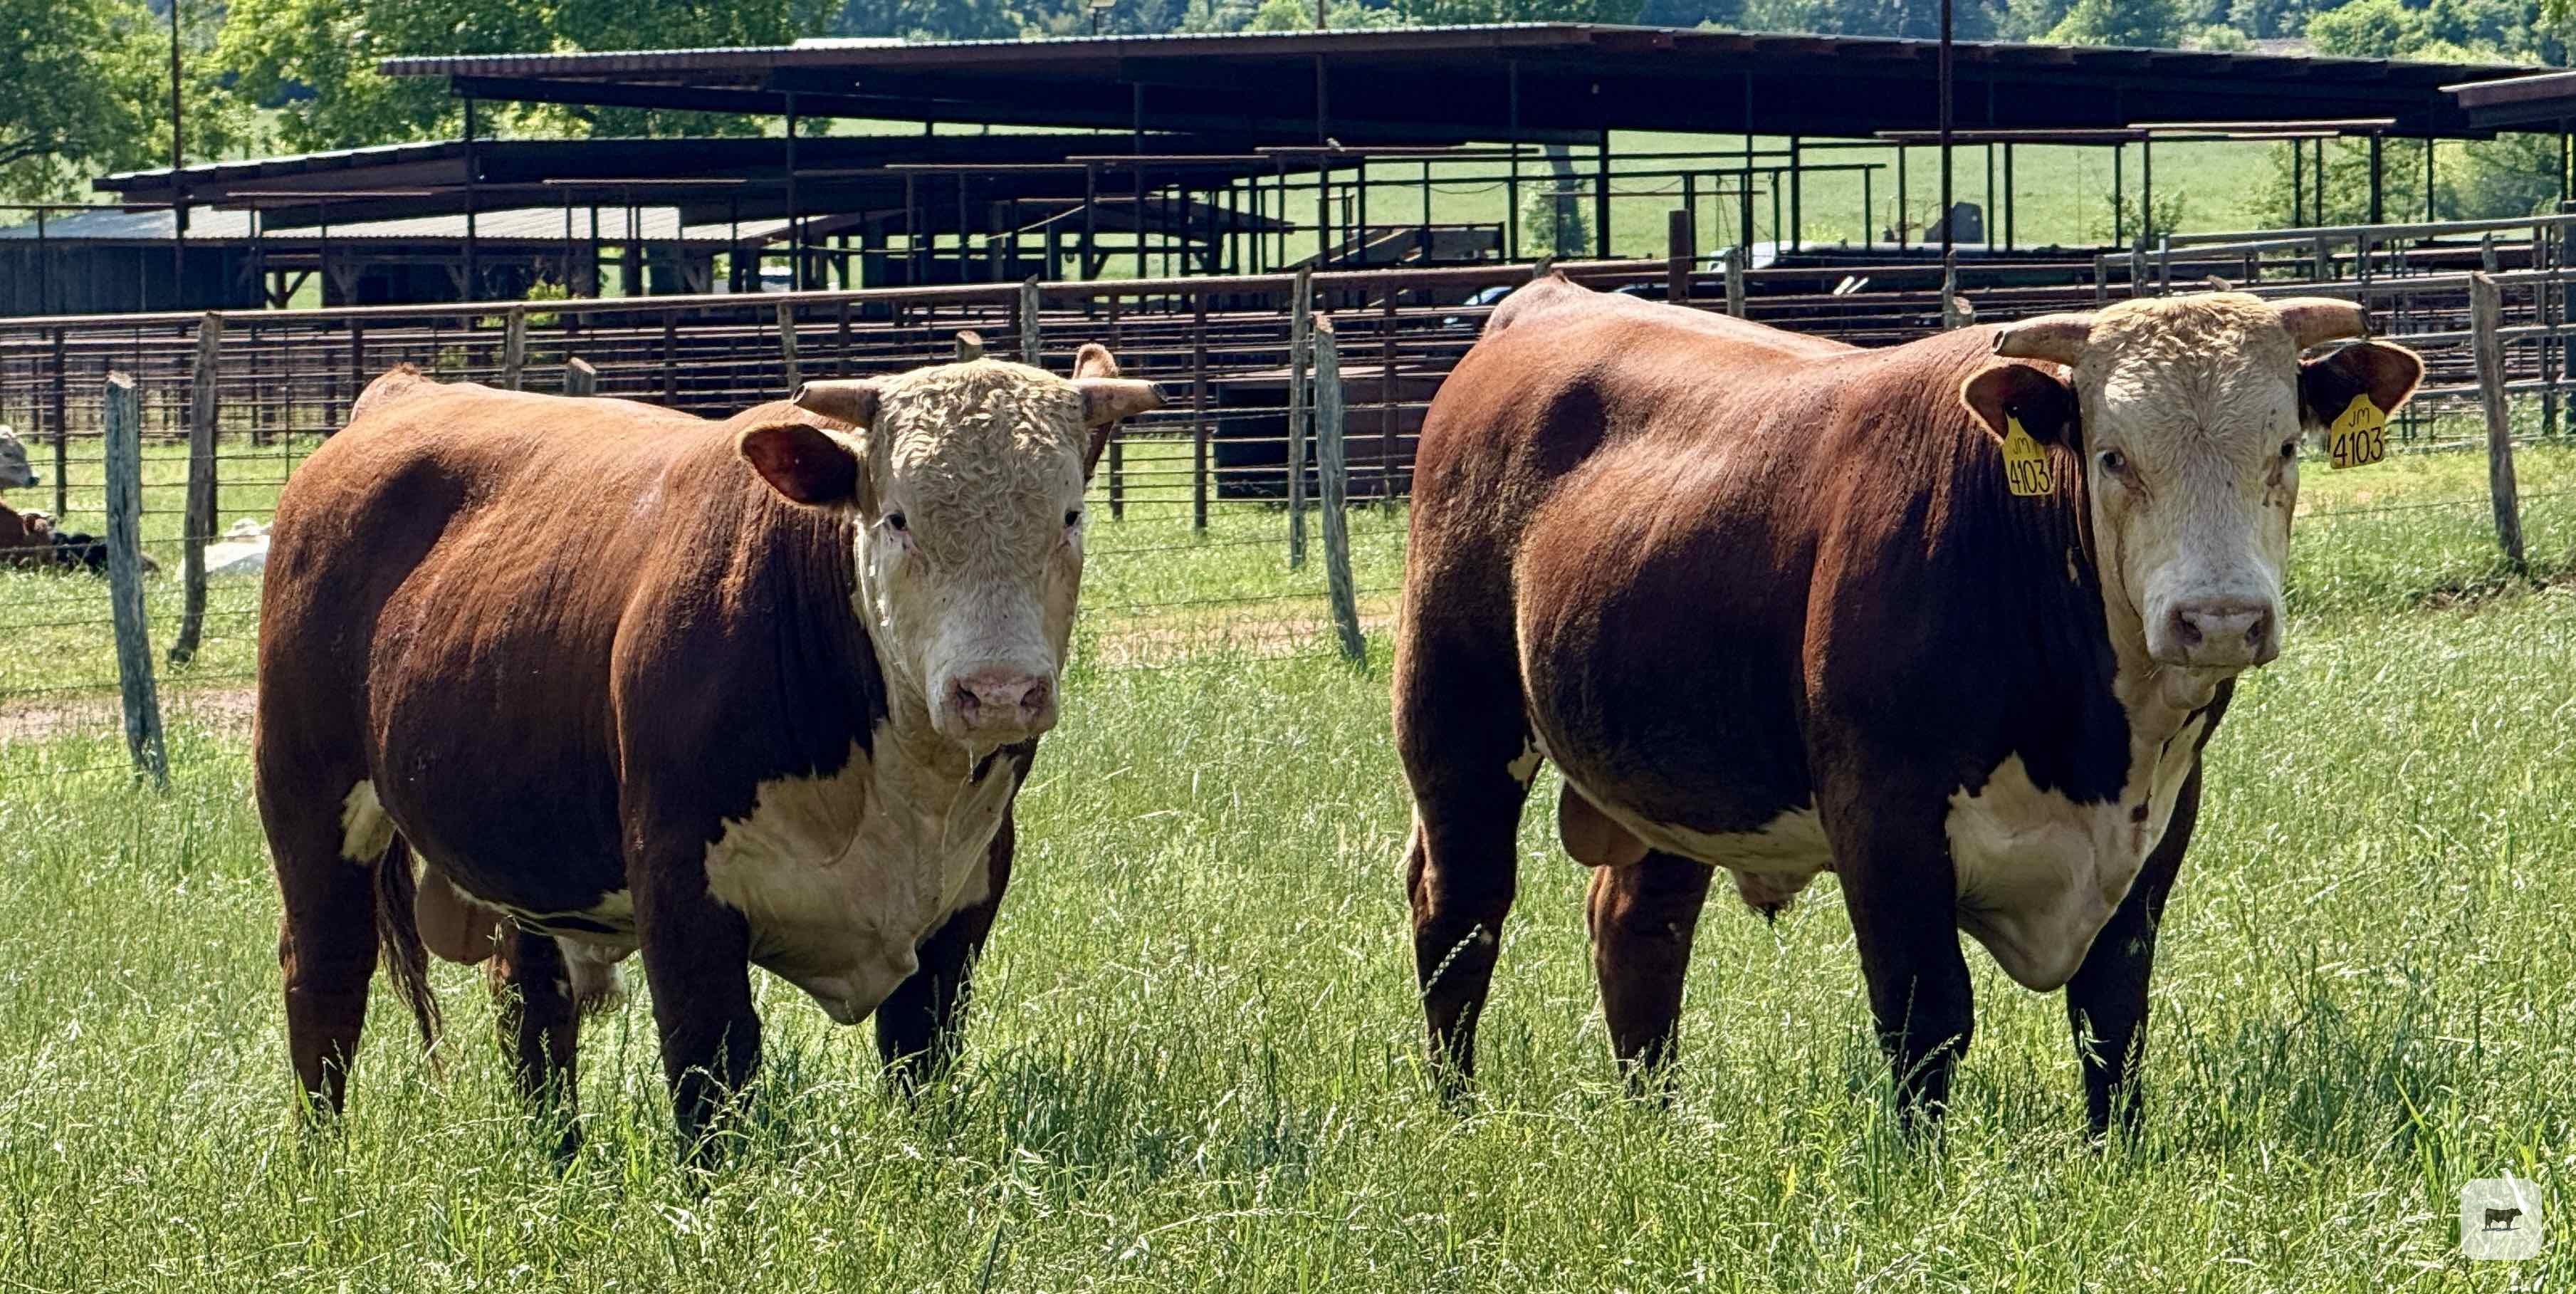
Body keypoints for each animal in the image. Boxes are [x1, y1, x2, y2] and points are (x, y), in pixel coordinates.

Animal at [255, 351, 1160, 1151]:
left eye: (1069, 515)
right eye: (898, 517)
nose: (999, 690)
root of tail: (402, 393)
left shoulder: (966, 897)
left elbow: (920, 1060)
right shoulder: (680, 887)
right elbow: (712, 1069)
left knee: (530, 1001)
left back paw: (556, 1157)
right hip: (307, 795)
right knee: (326, 982)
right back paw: (322, 1161)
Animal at [1394, 277, 2422, 1135]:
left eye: (2283, 447)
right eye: (2111, 455)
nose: (2220, 618)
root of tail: (1545, 298)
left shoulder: (2162, 814)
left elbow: (2111, 1014)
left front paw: (2117, 1156)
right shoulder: (1881, 816)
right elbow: (1927, 1015)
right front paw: (1917, 1169)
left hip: (1670, 776)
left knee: (1637, 924)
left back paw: (1658, 1121)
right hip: (1456, 720)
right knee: (1460, 911)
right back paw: (1457, 1114)